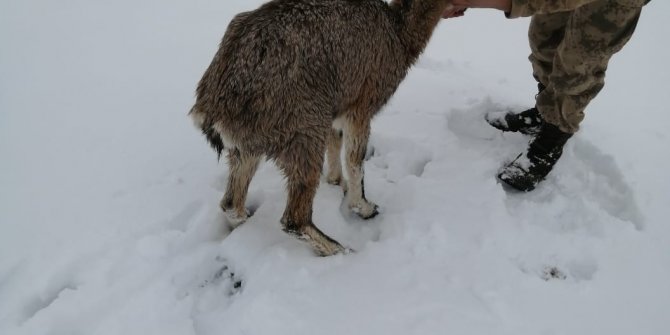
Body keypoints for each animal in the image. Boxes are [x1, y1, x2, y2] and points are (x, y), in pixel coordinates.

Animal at [194, 0, 456, 258]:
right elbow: (355, 160)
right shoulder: (360, 105)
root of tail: (212, 107)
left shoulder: (335, 110)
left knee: (230, 203)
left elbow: (335, 144)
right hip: (301, 130)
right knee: (294, 219)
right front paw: (364, 207)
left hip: (249, 143)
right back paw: (339, 249)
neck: (399, 32)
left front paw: (336, 182)